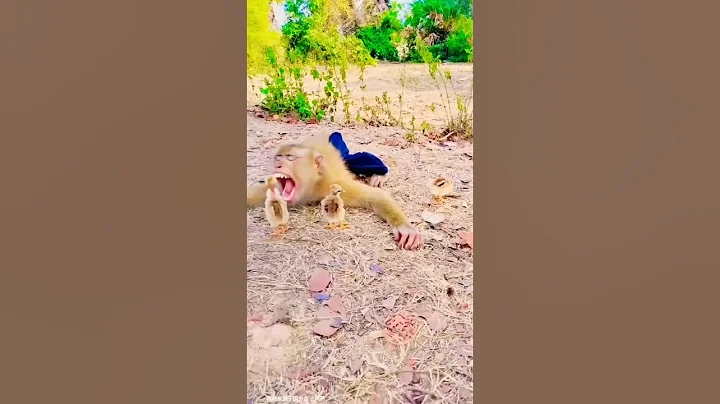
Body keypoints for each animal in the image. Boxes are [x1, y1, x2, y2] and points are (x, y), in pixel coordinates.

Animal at [247, 134, 422, 250]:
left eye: (290, 158)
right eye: (278, 158)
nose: (277, 164)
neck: (312, 186)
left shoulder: (332, 185)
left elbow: (376, 196)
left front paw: (404, 226)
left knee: (358, 159)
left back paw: (380, 174)